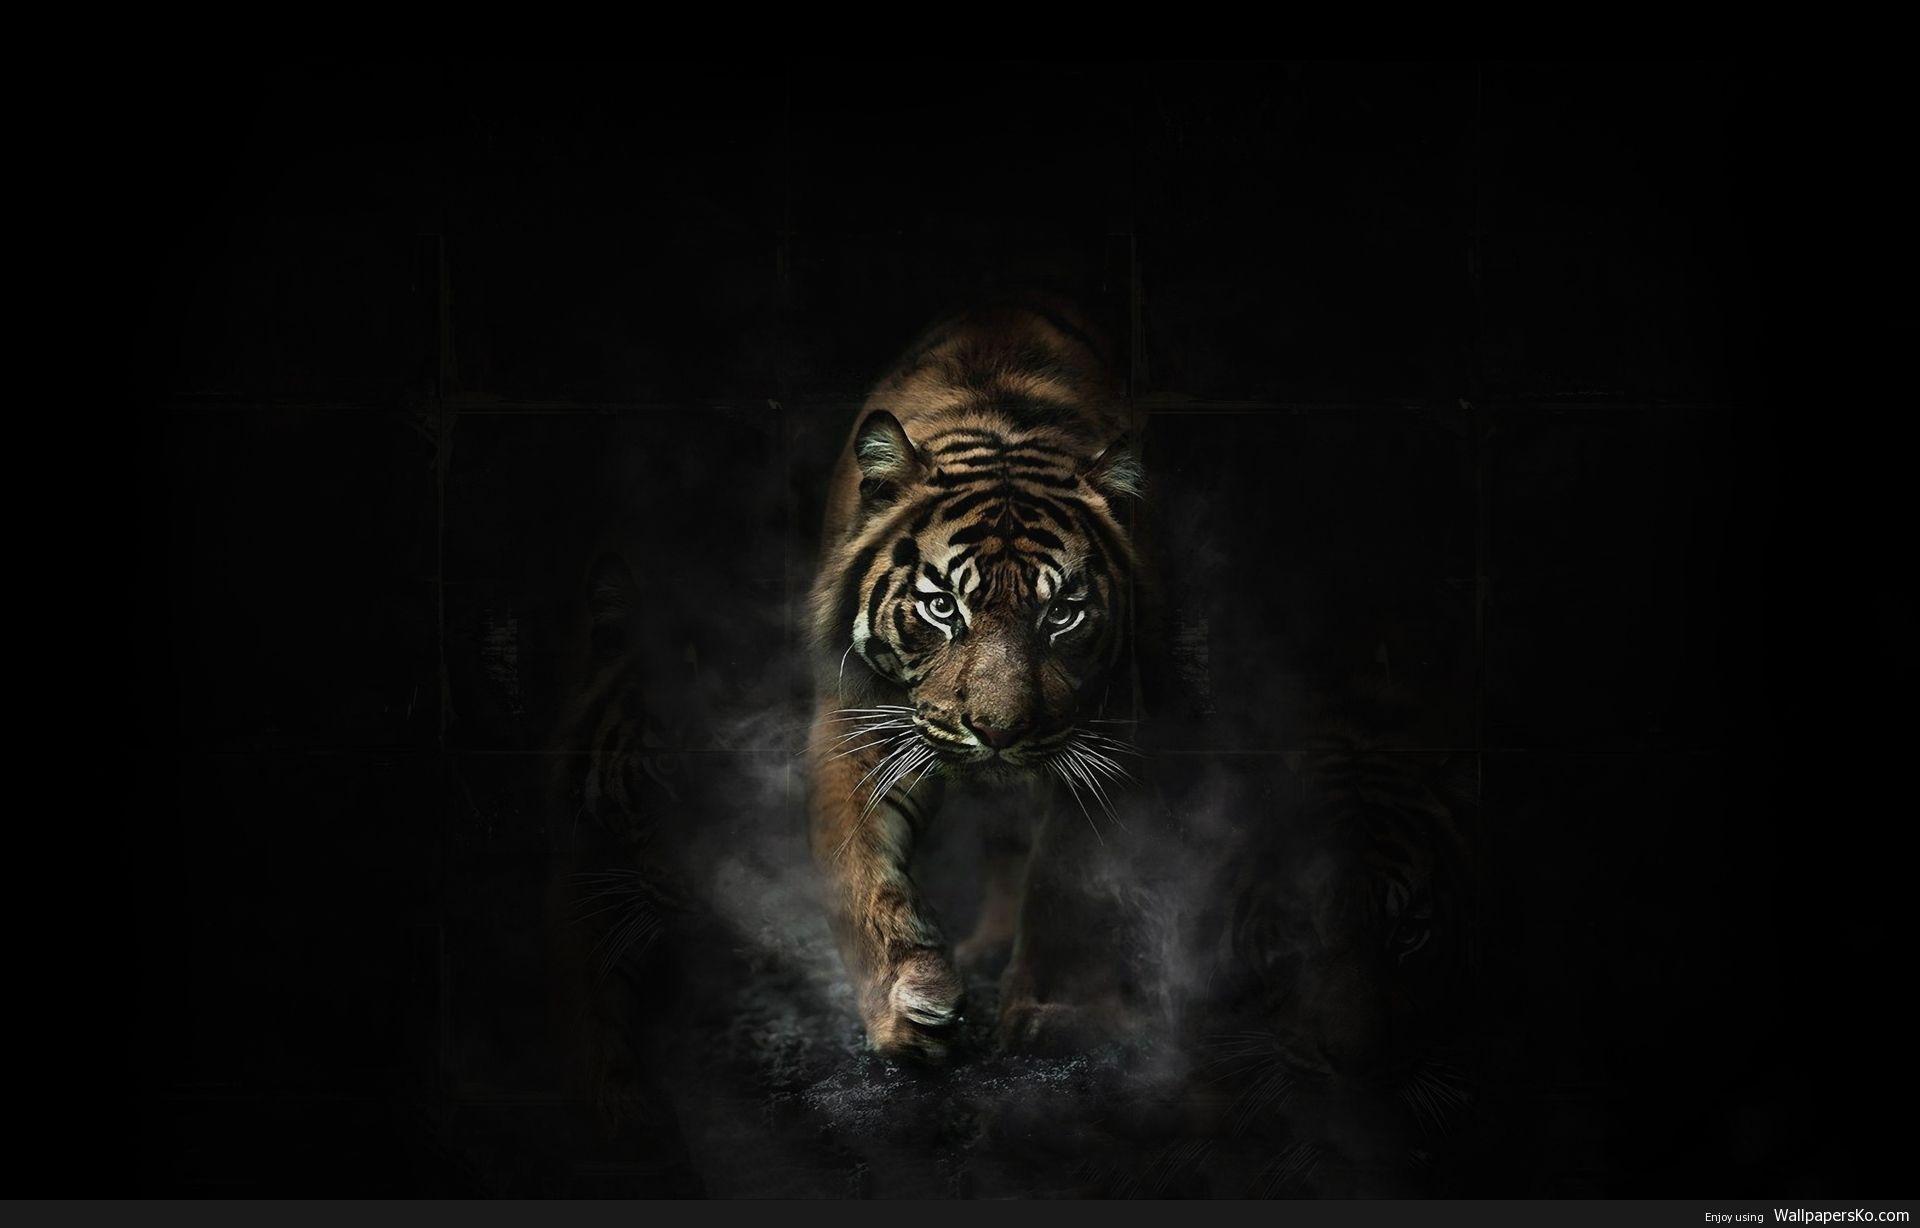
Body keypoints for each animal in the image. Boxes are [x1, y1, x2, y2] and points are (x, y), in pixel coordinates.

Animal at [804, 298, 1148, 1063]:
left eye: (1062, 613)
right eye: (942, 607)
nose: (997, 730)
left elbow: (1065, 878)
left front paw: (1050, 1012)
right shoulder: (857, 716)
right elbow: (859, 870)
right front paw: (909, 1005)